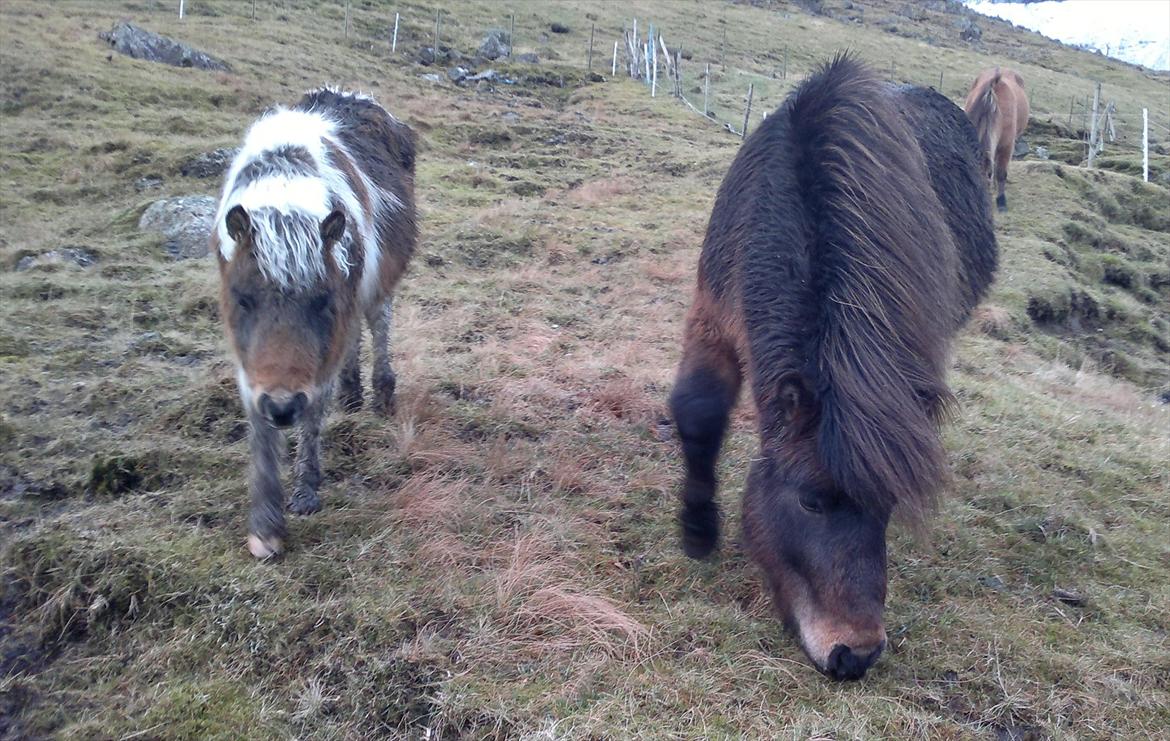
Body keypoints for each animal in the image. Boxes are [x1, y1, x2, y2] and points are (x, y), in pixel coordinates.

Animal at [212, 88, 418, 554]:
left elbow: (314, 409)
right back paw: (353, 395)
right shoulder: (250, 359)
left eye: (321, 301)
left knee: (377, 323)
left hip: (375, 286)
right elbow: (260, 428)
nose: (282, 407)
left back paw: (380, 394)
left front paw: (306, 491)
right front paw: (265, 526)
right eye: (243, 299)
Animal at [669, 56, 996, 683]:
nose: (855, 655)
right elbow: (697, 415)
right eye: (811, 501)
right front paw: (698, 532)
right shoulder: (712, 314)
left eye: (889, 508)